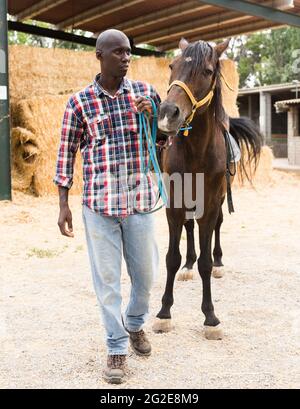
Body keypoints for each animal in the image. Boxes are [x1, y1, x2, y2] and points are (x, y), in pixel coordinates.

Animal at [154, 38, 262, 338]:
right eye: (172, 66)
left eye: (208, 70)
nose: (168, 113)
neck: (195, 150)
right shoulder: (174, 204)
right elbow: (171, 257)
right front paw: (164, 312)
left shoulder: (211, 203)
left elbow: (205, 258)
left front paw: (210, 316)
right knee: (190, 229)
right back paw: (188, 265)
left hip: (220, 200)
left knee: (218, 227)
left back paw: (218, 262)